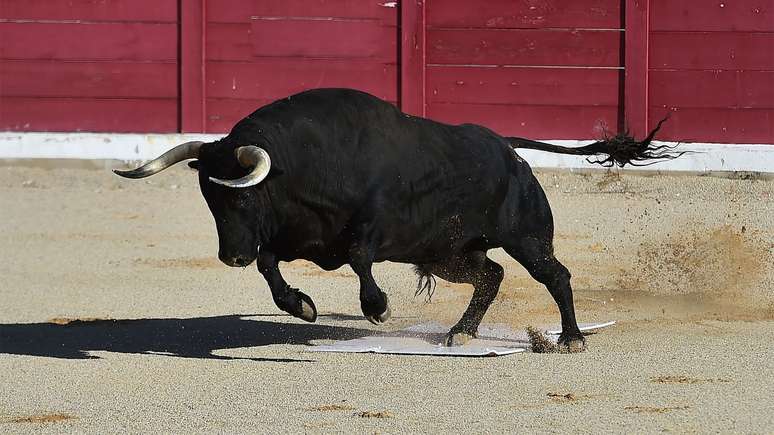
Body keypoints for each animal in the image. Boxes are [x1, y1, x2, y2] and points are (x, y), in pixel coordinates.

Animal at [115, 87, 684, 350]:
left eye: (242, 199)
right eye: (210, 201)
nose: (230, 255)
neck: (305, 166)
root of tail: (507, 149)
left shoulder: (368, 229)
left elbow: (359, 258)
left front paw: (378, 309)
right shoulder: (294, 238)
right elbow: (271, 267)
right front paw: (302, 306)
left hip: (526, 237)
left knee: (555, 276)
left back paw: (571, 339)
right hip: (449, 252)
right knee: (491, 275)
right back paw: (461, 332)